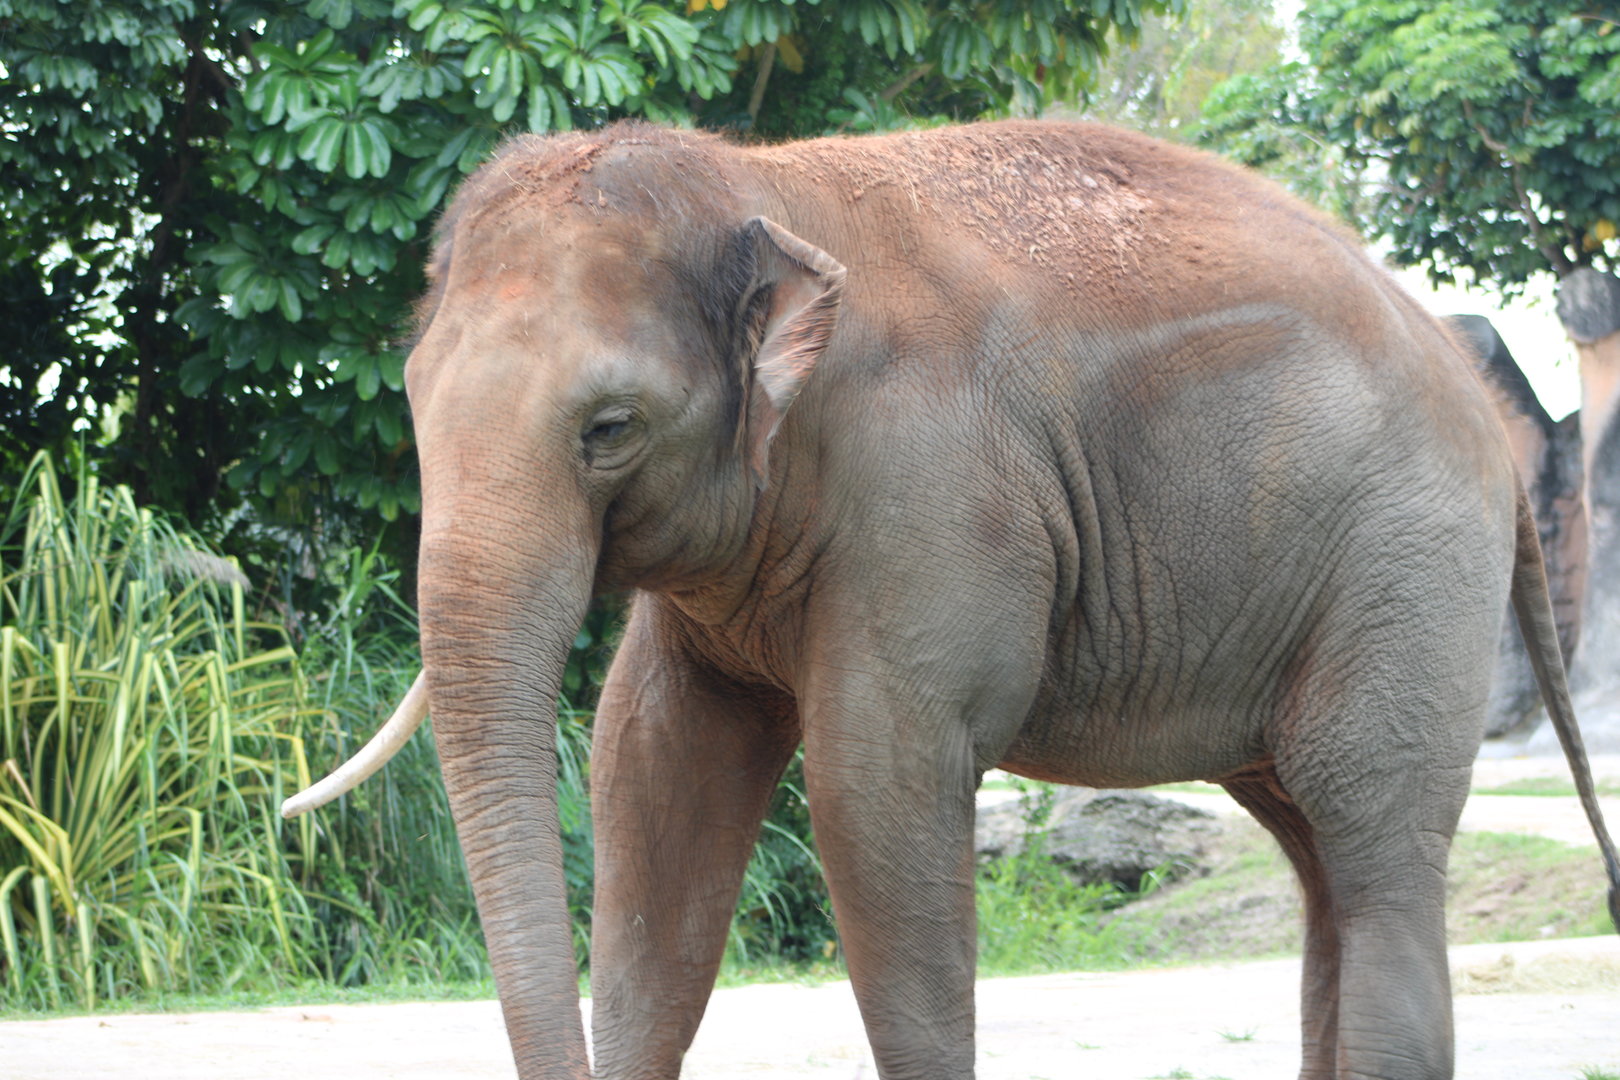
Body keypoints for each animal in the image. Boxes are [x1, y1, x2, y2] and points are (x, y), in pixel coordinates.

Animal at [283, 120, 1620, 1080]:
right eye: (413, 400)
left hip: (1407, 557)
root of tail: (1490, 423)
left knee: (1371, 831)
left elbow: (873, 789)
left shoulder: (933, 490)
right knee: (1314, 849)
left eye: (607, 429)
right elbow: (653, 768)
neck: (758, 184)